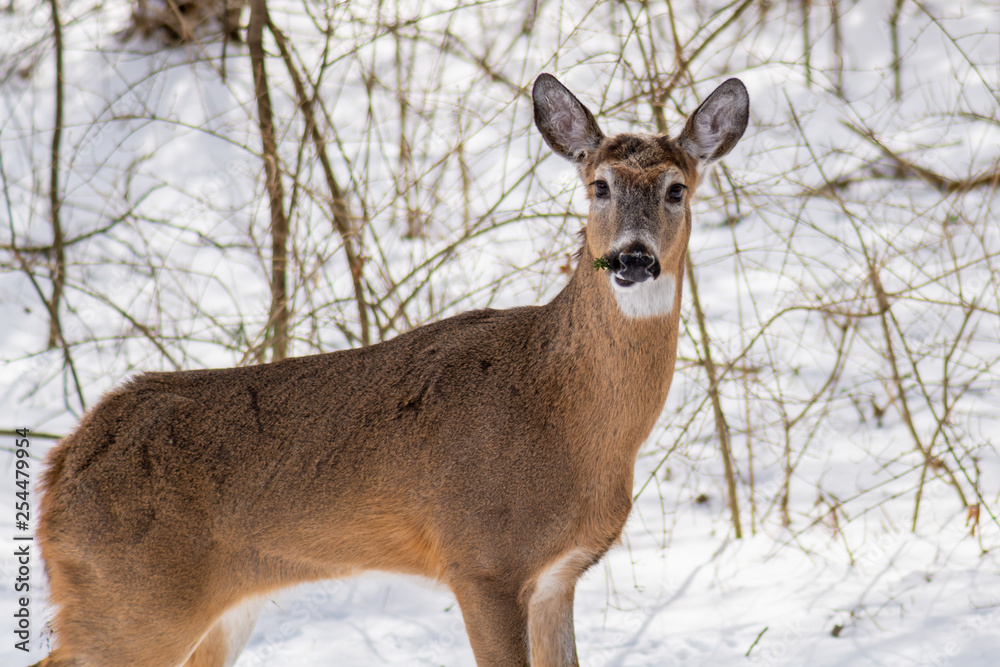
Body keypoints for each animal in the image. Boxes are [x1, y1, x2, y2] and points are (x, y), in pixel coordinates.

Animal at [31, 72, 748, 667]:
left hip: (208, 608)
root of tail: (62, 464)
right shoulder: (480, 558)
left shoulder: (557, 576)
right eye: (599, 185)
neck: (567, 417)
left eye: (676, 189)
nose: (632, 258)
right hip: (130, 598)